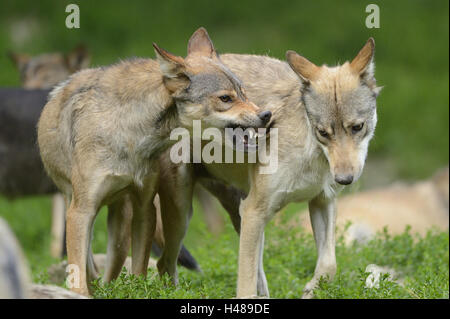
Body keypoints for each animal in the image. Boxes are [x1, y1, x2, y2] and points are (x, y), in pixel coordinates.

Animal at [37, 28, 270, 298]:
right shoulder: (81, 211)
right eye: (225, 98)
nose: (266, 115)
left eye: (243, 92)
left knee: (122, 268)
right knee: (95, 267)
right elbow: (79, 275)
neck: (131, 135)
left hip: (135, 223)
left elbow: (139, 270)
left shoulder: (144, 208)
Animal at [154, 38, 380, 300]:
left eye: (357, 127)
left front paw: (310, 290)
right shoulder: (254, 211)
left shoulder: (322, 201)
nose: (345, 179)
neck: (311, 150)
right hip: (185, 215)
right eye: (323, 132)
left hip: (237, 214)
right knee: (163, 264)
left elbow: (329, 265)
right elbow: (245, 288)